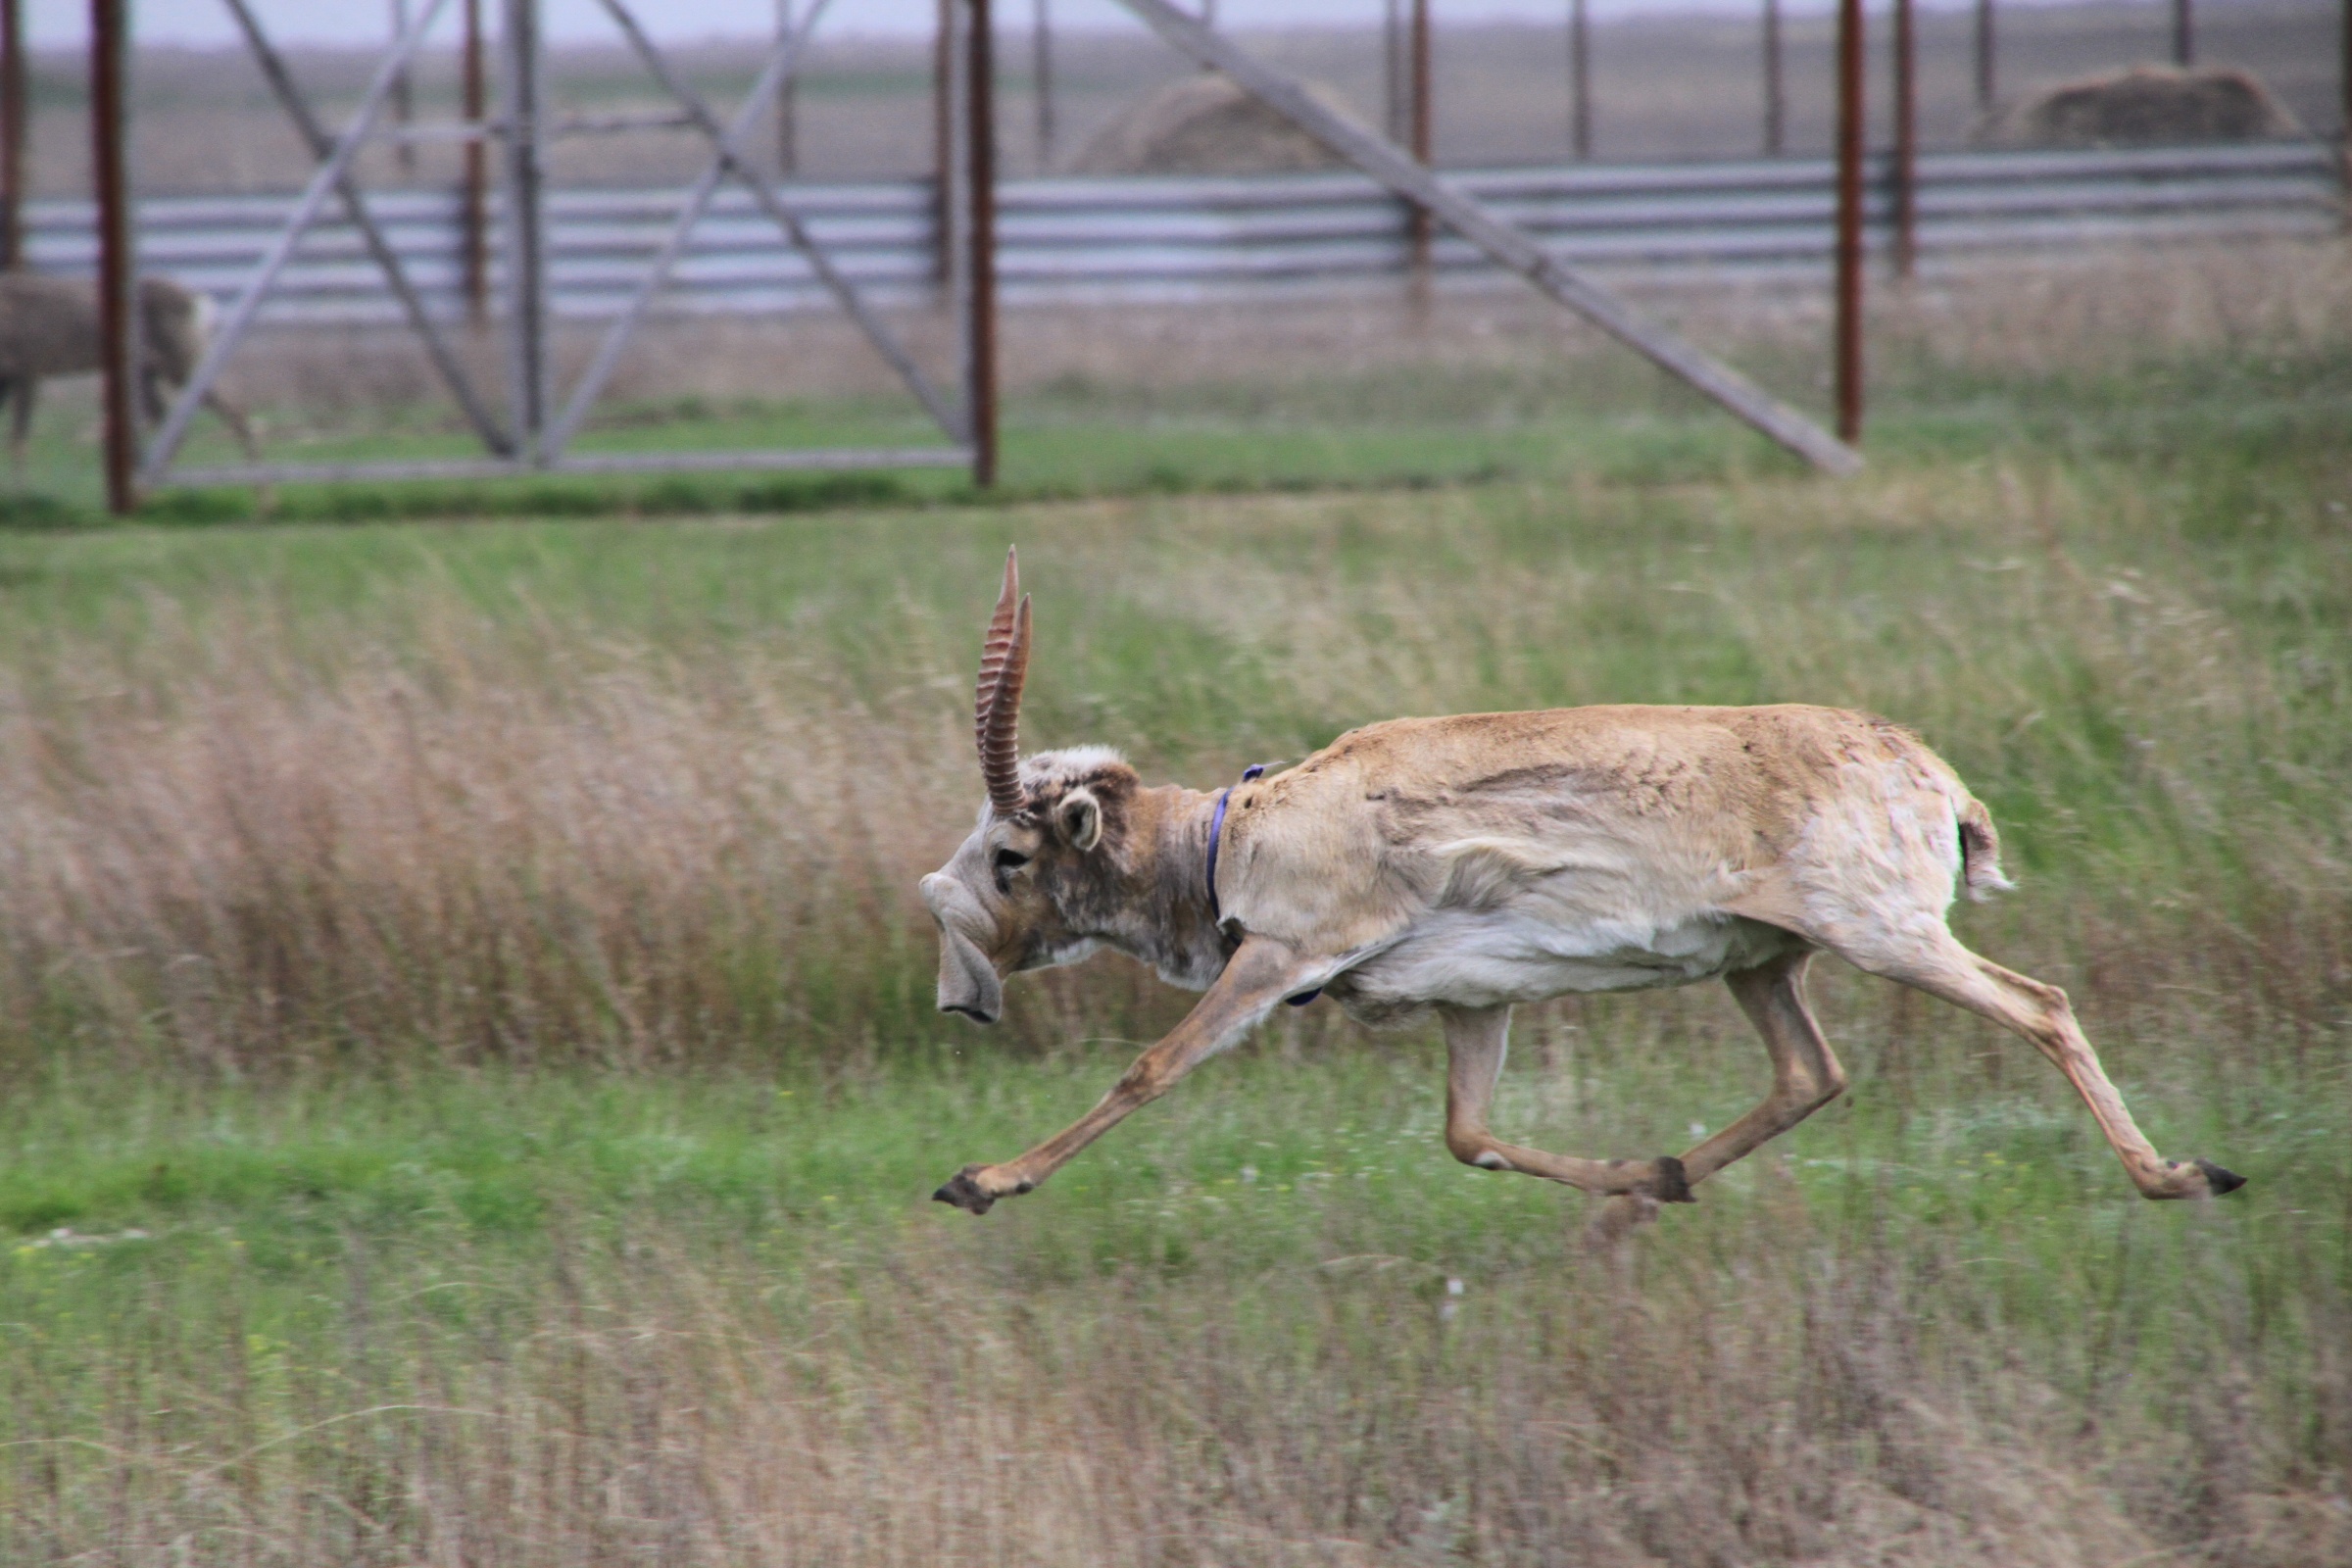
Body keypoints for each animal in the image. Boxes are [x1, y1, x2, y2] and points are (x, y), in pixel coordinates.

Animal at [0, 272, 260, 474]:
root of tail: (196, 300)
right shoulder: (11, 377)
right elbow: (15, 439)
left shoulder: (29, 368)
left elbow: (18, 441)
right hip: (149, 371)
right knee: (169, 424)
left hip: (181, 358)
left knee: (234, 410)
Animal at [922, 550, 2244, 1236]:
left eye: (1010, 854)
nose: (956, 997)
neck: (1227, 836)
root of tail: (1930, 772)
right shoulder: (1474, 1003)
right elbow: (1467, 1133)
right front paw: (1632, 1176)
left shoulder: (1282, 956)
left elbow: (1147, 1070)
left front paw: (980, 1179)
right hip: (1765, 963)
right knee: (1810, 1073)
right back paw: (1653, 1190)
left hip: (1888, 934)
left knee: (2041, 1004)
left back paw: (2183, 1174)